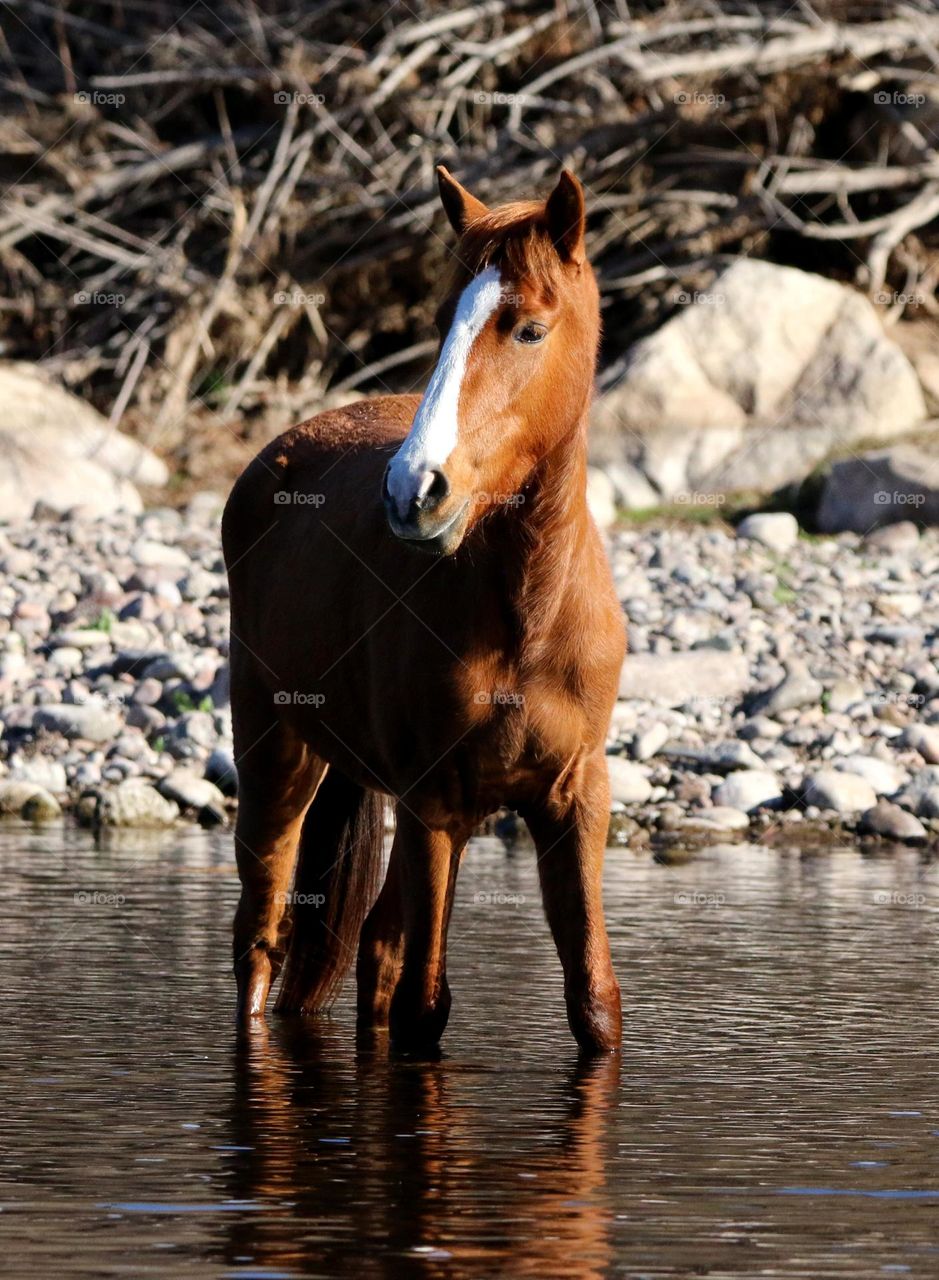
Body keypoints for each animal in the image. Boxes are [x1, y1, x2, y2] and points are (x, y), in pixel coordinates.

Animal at [222, 167, 627, 1055]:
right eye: (444, 322)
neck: (525, 616)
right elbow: (422, 1010)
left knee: (374, 946)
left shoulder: (574, 800)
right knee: (260, 940)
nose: (415, 491)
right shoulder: (433, 803)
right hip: (278, 758)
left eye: (529, 328)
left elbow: (593, 1004)